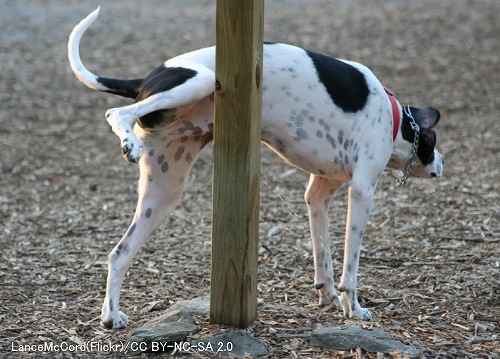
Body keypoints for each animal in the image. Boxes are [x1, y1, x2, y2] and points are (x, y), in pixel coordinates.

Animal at [68, 8, 444, 330]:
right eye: (434, 140)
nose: (441, 164)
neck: (395, 117)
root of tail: (147, 77)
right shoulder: (362, 192)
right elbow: (350, 265)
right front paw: (354, 306)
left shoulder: (318, 196)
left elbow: (322, 254)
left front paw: (328, 296)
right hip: (197, 82)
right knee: (115, 113)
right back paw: (128, 141)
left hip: (163, 192)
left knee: (118, 254)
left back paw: (111, 315)